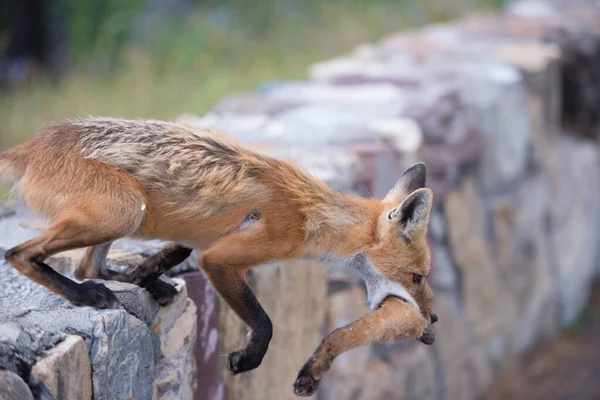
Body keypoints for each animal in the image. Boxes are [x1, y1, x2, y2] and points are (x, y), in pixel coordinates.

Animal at [1, 117, 440, 380]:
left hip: (121, 216)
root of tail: (30, 144)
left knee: (86, 266)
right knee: (21, 255)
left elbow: (176, 253)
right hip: (123, 211)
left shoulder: (201, 240)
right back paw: (84, 294)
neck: (309, 213)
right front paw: (248, 358)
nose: (434, 318)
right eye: (417, 278)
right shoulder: (221, 259)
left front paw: (146, 274)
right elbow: (265, 323)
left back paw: (134, 284)